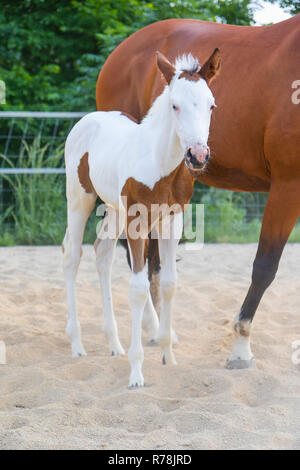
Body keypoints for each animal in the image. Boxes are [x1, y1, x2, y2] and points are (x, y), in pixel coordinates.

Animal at [62, 47, 220, 388]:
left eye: (211, 105)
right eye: (175, 105)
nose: (198, 156)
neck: (160, 164)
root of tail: (88, 119)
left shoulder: (173, 220)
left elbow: (169, 282)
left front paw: (168, 355)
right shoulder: (138, 222)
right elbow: (138, 287)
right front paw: (136, 372)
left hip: (114, 209)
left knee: (102, 252)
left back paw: (114, 343)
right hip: (79, 198)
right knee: (72, 254)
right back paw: (77, 344)